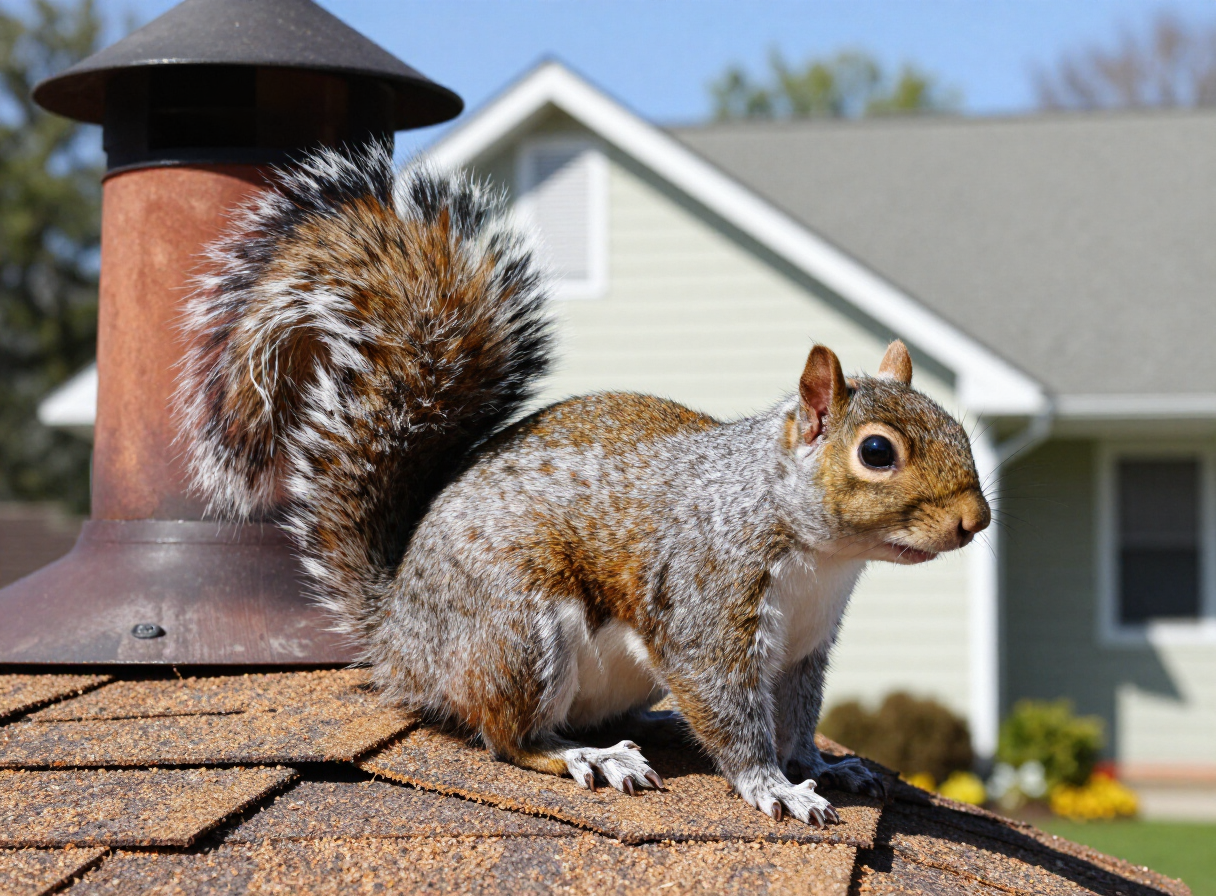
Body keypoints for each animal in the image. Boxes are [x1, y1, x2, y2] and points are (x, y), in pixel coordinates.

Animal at [177, 143, 990, 827]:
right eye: (877, 451)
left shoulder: (803, 647)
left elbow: (796, 718)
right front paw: (776, 788)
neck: (817, 553)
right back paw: (585, 755)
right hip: (520, 632)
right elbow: (732, 717)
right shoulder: (707, 611)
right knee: (509, 737)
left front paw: (824, 766)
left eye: (956, 424)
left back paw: (648, 723)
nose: (975, 521)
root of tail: (402, 635)